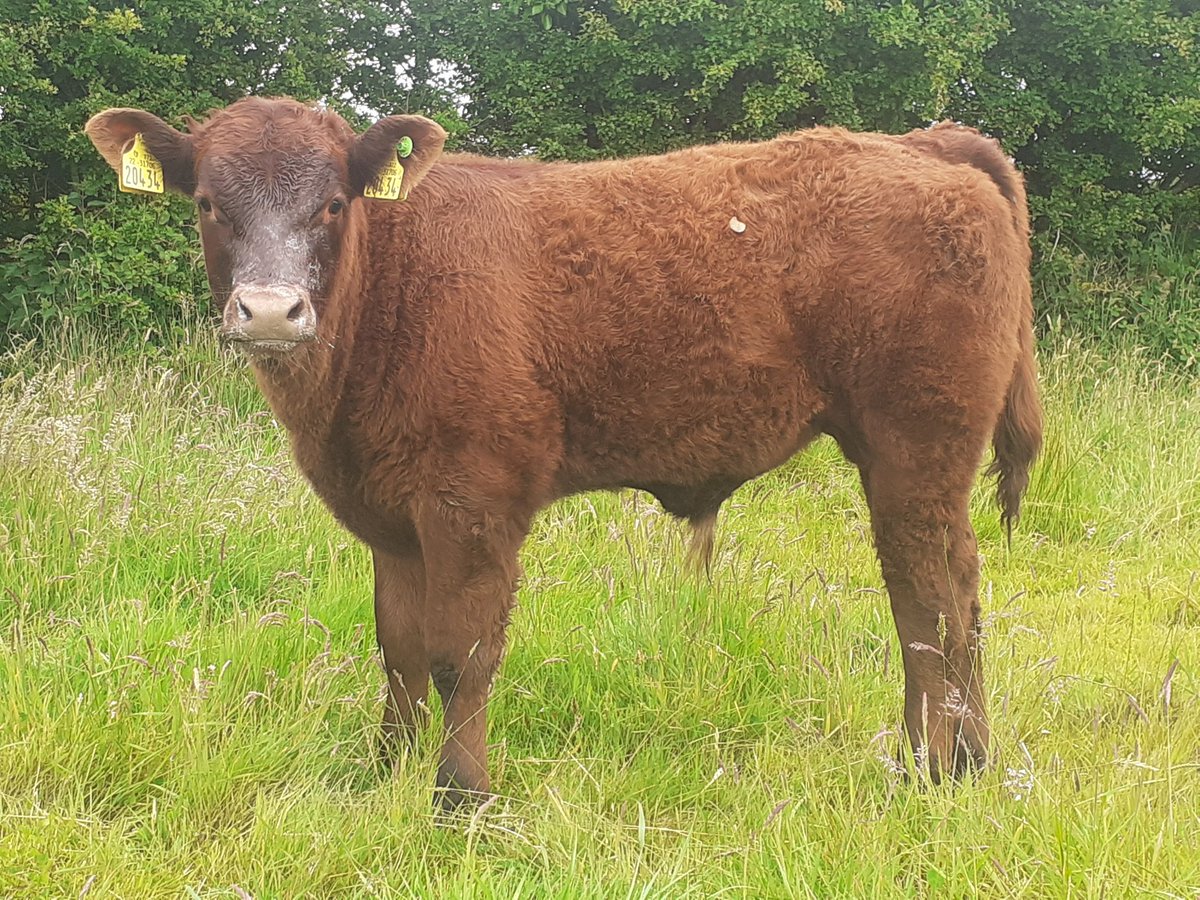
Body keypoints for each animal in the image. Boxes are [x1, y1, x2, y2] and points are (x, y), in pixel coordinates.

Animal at [86, 97, 1042, 811]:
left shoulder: (472, 503)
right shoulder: (390, 517)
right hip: (910, 461)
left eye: (333, 203)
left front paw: (459, 796)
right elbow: (397, 647)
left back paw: (942, 770)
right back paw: (939, 762)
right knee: (938, 601)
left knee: (934, 600)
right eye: (208, 203)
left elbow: (459, 653)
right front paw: (387, 774)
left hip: (917, 449)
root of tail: (925, 143)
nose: (271, 311)